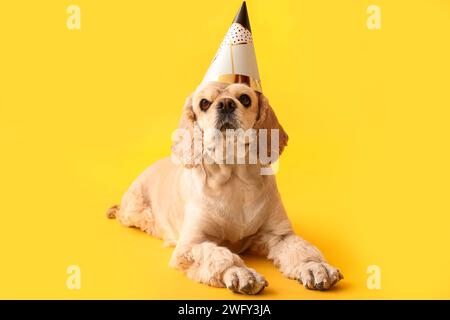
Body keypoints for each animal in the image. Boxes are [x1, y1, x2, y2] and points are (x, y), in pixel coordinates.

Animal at [107, 81, 342, 294]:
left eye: (245, 99)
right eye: (204, 103)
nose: (226, 104)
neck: (234, 178)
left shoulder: (279, 234)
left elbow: (301, 249)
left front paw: (315, 267)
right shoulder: (192, 244)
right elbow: (218, 255)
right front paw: (241, 273)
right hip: (135, 210)